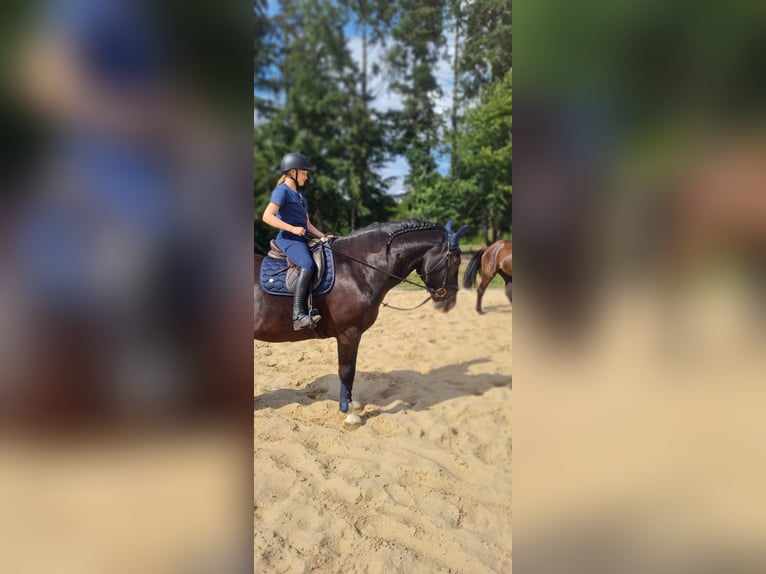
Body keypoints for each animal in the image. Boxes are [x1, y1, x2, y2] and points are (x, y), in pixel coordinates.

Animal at [254, 220, 468, 428]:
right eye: (456, 261)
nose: (450, 301)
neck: (357, 269)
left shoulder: (354, 334)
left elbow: (352, 370)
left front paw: (351, 402)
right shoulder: (349, 333)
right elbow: (346, 371)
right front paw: (349, 413)